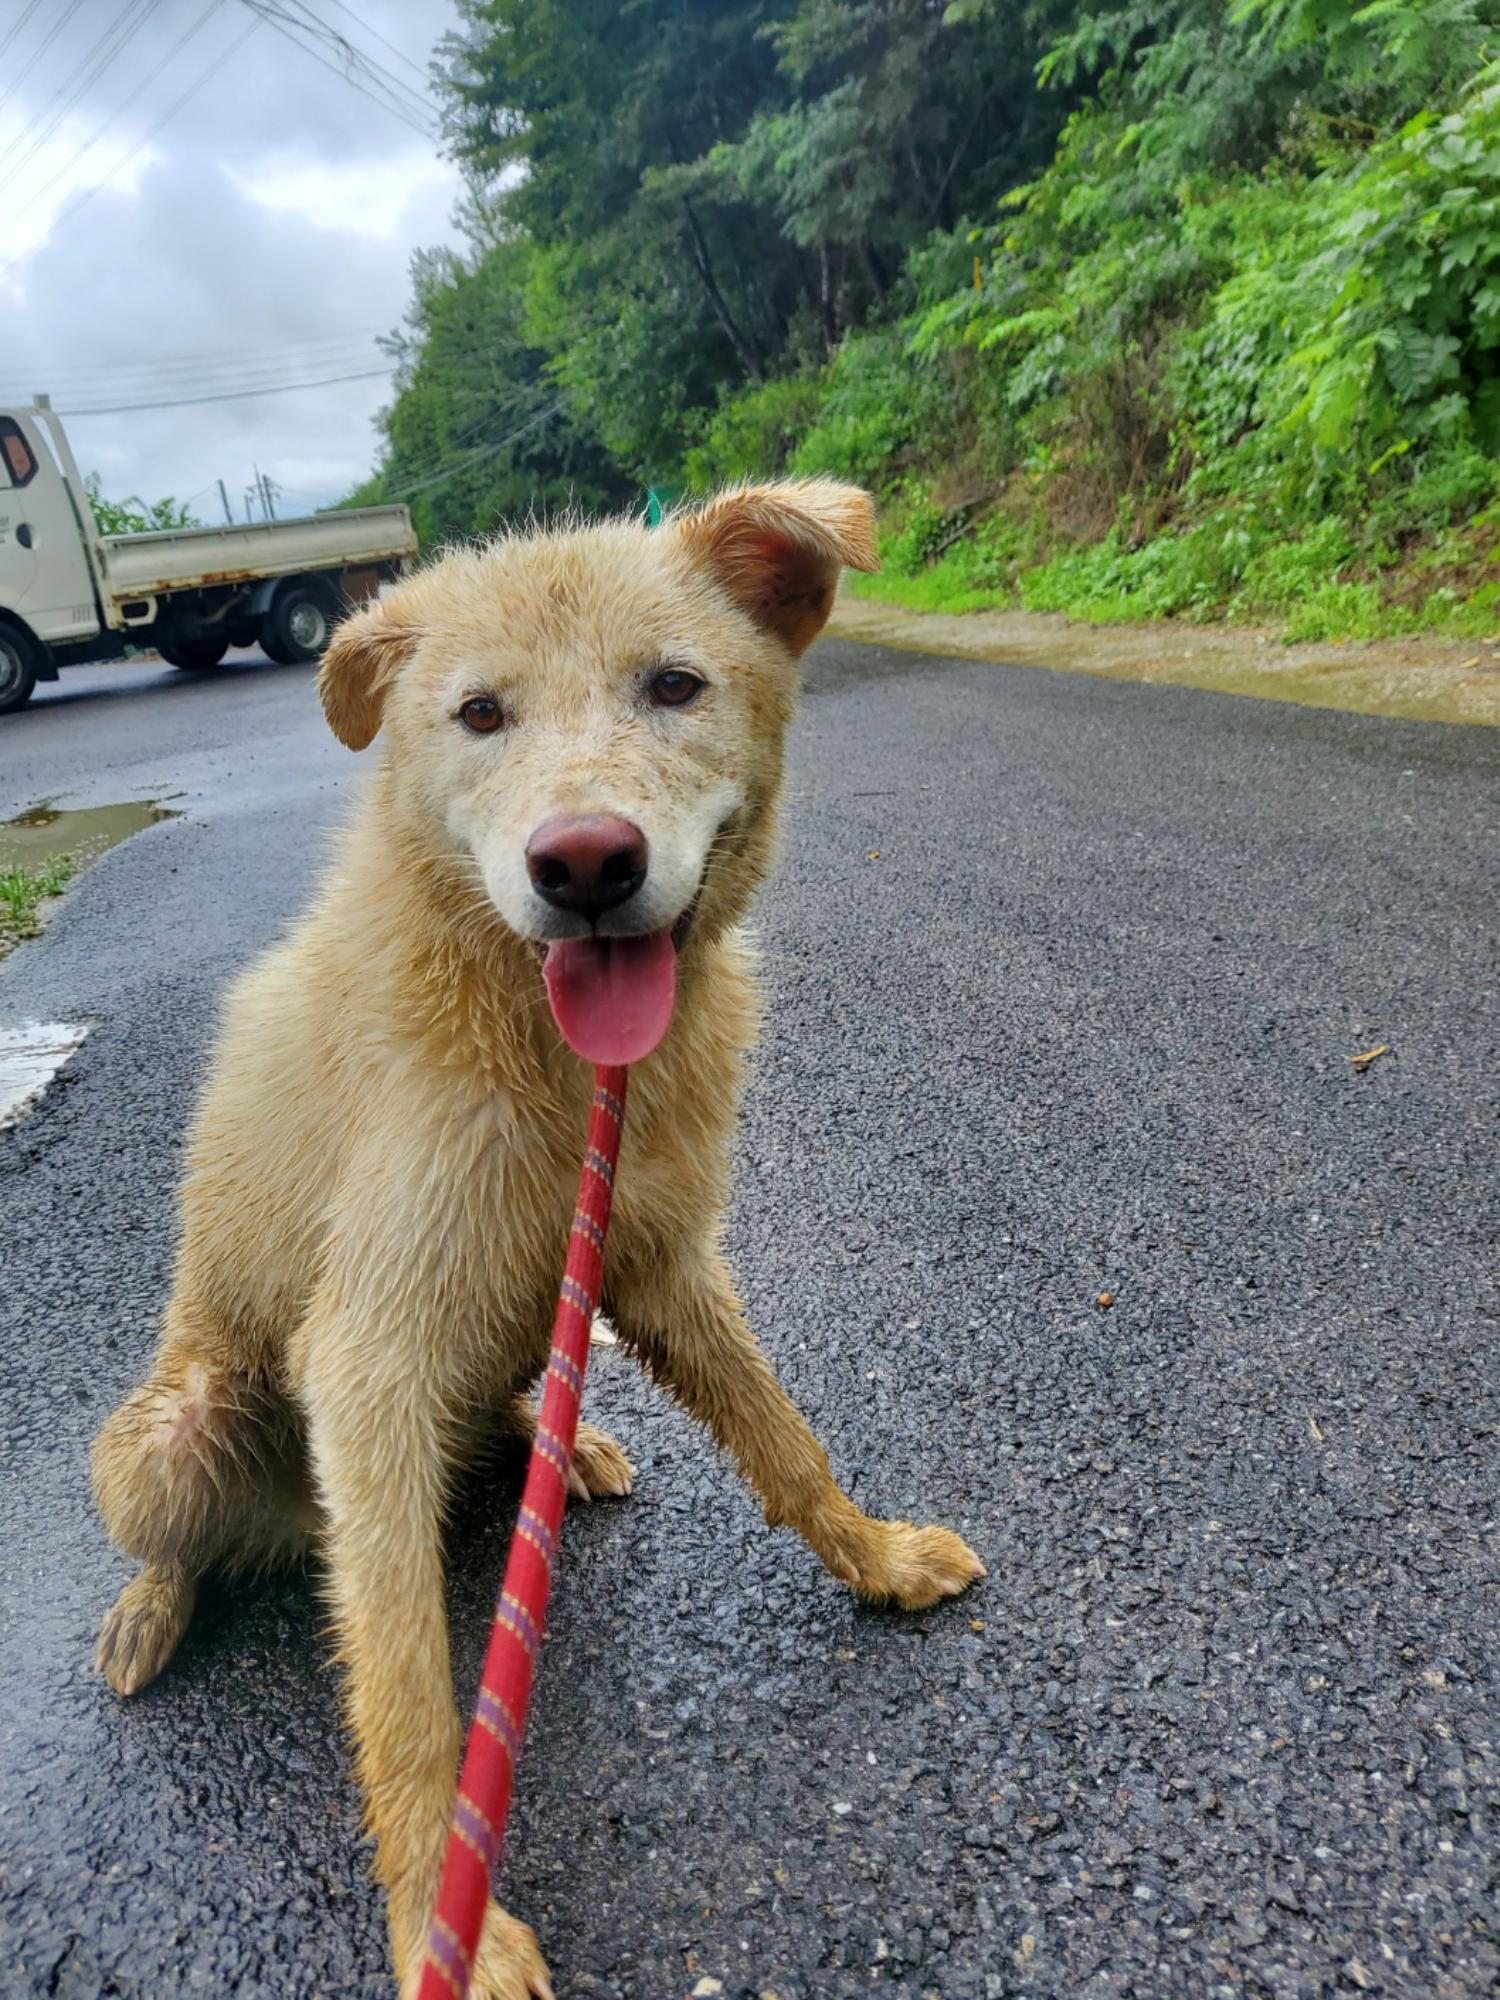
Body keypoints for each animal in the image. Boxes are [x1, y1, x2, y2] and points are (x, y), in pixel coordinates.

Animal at [91, 484, 988, 2000]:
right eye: (479, 713)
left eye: (674, 685)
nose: (583, 864)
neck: (545, 1041)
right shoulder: (365, 1362)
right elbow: (405, 1682)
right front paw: (434, 1920)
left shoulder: (654, 1258)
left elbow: (783, 1437)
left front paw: (873, 1556)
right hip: (177, 1429)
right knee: (183, 1538)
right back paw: (152, 1609)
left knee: (510, 1406)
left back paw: (561, 1449)